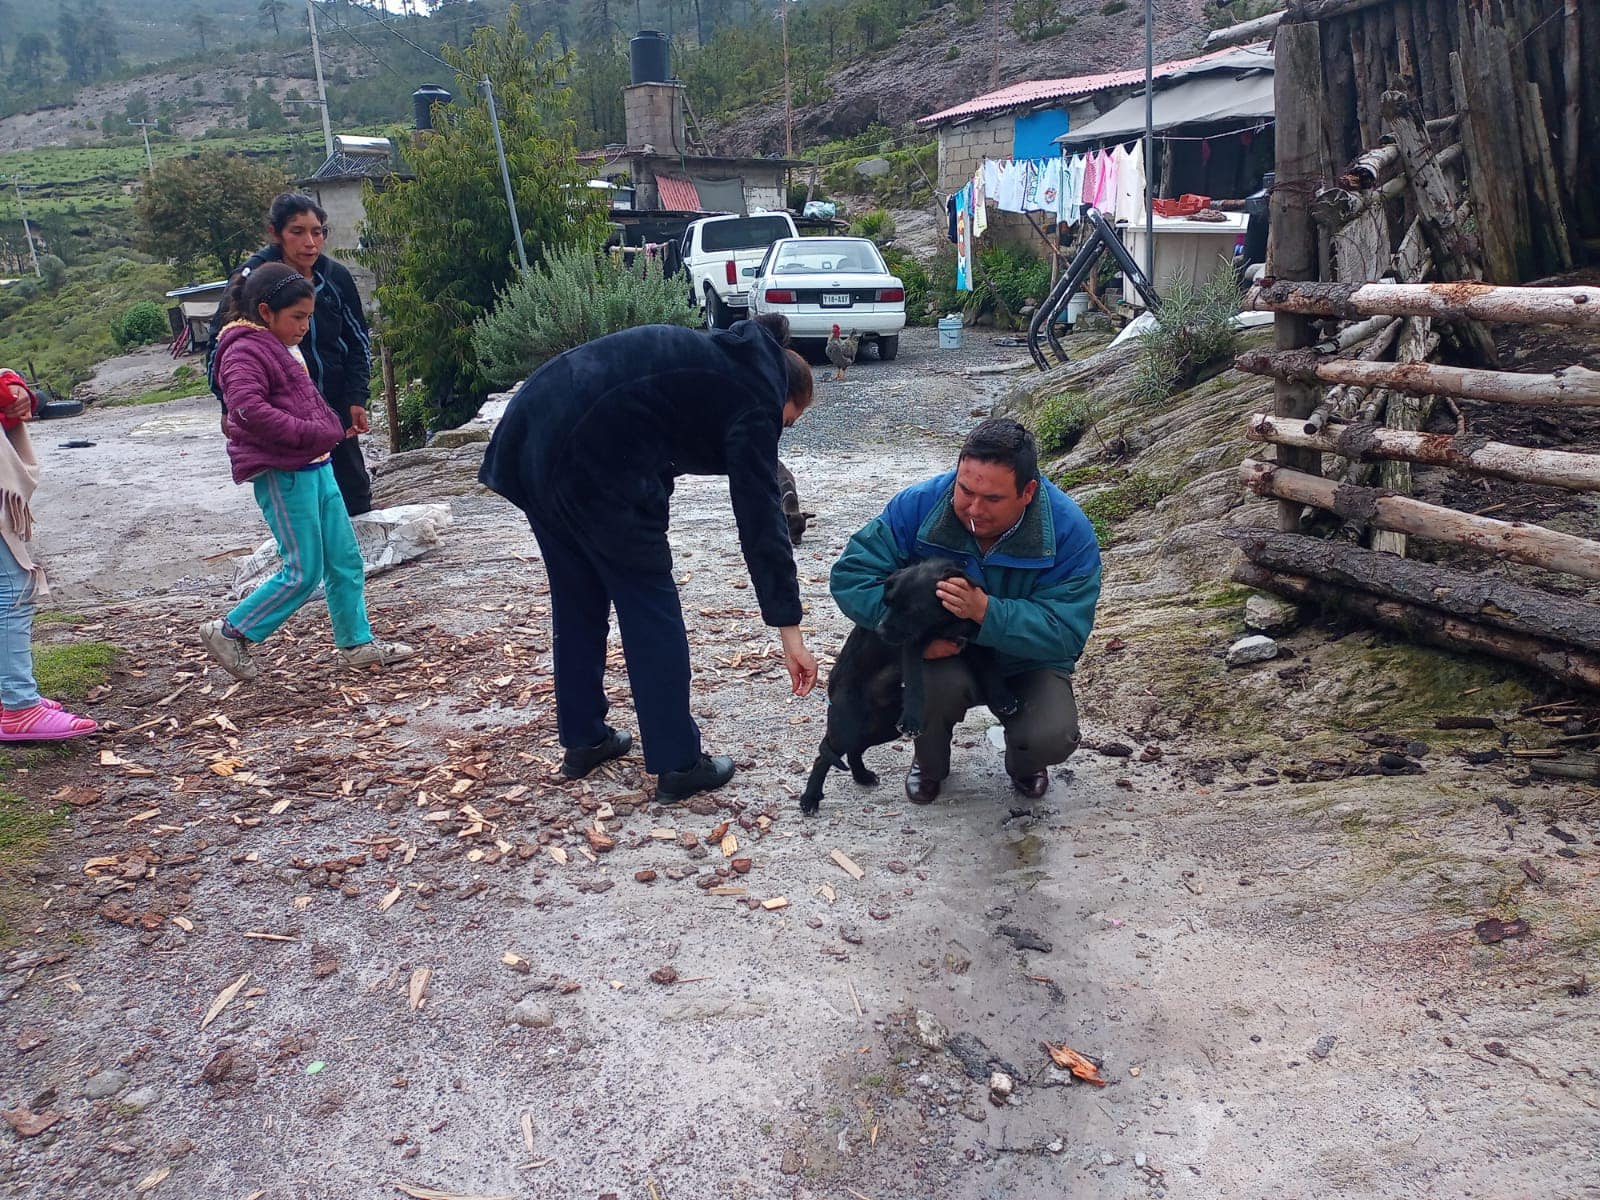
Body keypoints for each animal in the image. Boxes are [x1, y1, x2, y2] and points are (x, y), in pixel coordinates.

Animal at [800, 563, 1024, 819]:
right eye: (887, 602)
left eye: (913, 609)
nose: (880, 630)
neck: (945, 623)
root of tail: (832, 684)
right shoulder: (913, 646)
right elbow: (915, 683)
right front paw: (912, 719)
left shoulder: (974, 636)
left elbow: (990, 666)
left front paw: (1003, 698)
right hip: (847, 726)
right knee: (823, 757)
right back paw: (810, 798)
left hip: (882, 728)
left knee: (854, 749)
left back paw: (861, 776)